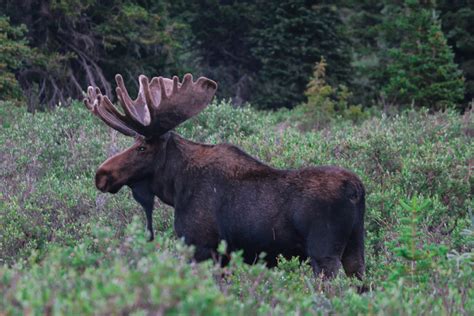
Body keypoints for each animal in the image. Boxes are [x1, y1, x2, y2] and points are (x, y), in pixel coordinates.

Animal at [83, 74, 366, 278]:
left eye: (142, 147)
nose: (101, 174)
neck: (176, 189)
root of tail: (356, 190)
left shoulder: (203, 247)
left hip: (323, 253)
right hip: (355, 249)